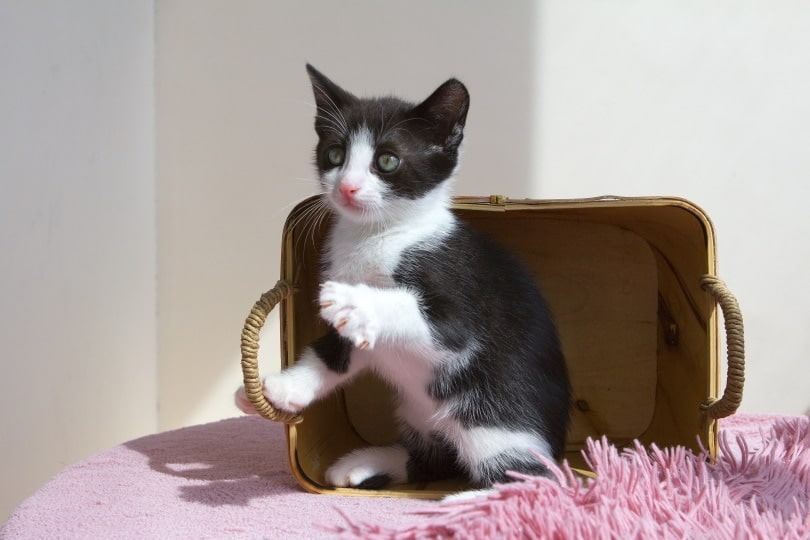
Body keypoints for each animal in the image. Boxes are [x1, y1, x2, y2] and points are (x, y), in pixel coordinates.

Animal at [238, 64, 568, 494]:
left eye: (388, 161)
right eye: (335, 154)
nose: (347, 187)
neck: (377, 235)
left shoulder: (459, 300)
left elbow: (416, 310)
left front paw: (354, 299)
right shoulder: (360, 338)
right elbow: (332, 353)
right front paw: (282, 388)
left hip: (493, 421)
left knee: (531, 479)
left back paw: (459, 502)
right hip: (418, 414)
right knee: (432, 459)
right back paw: (363, 463)